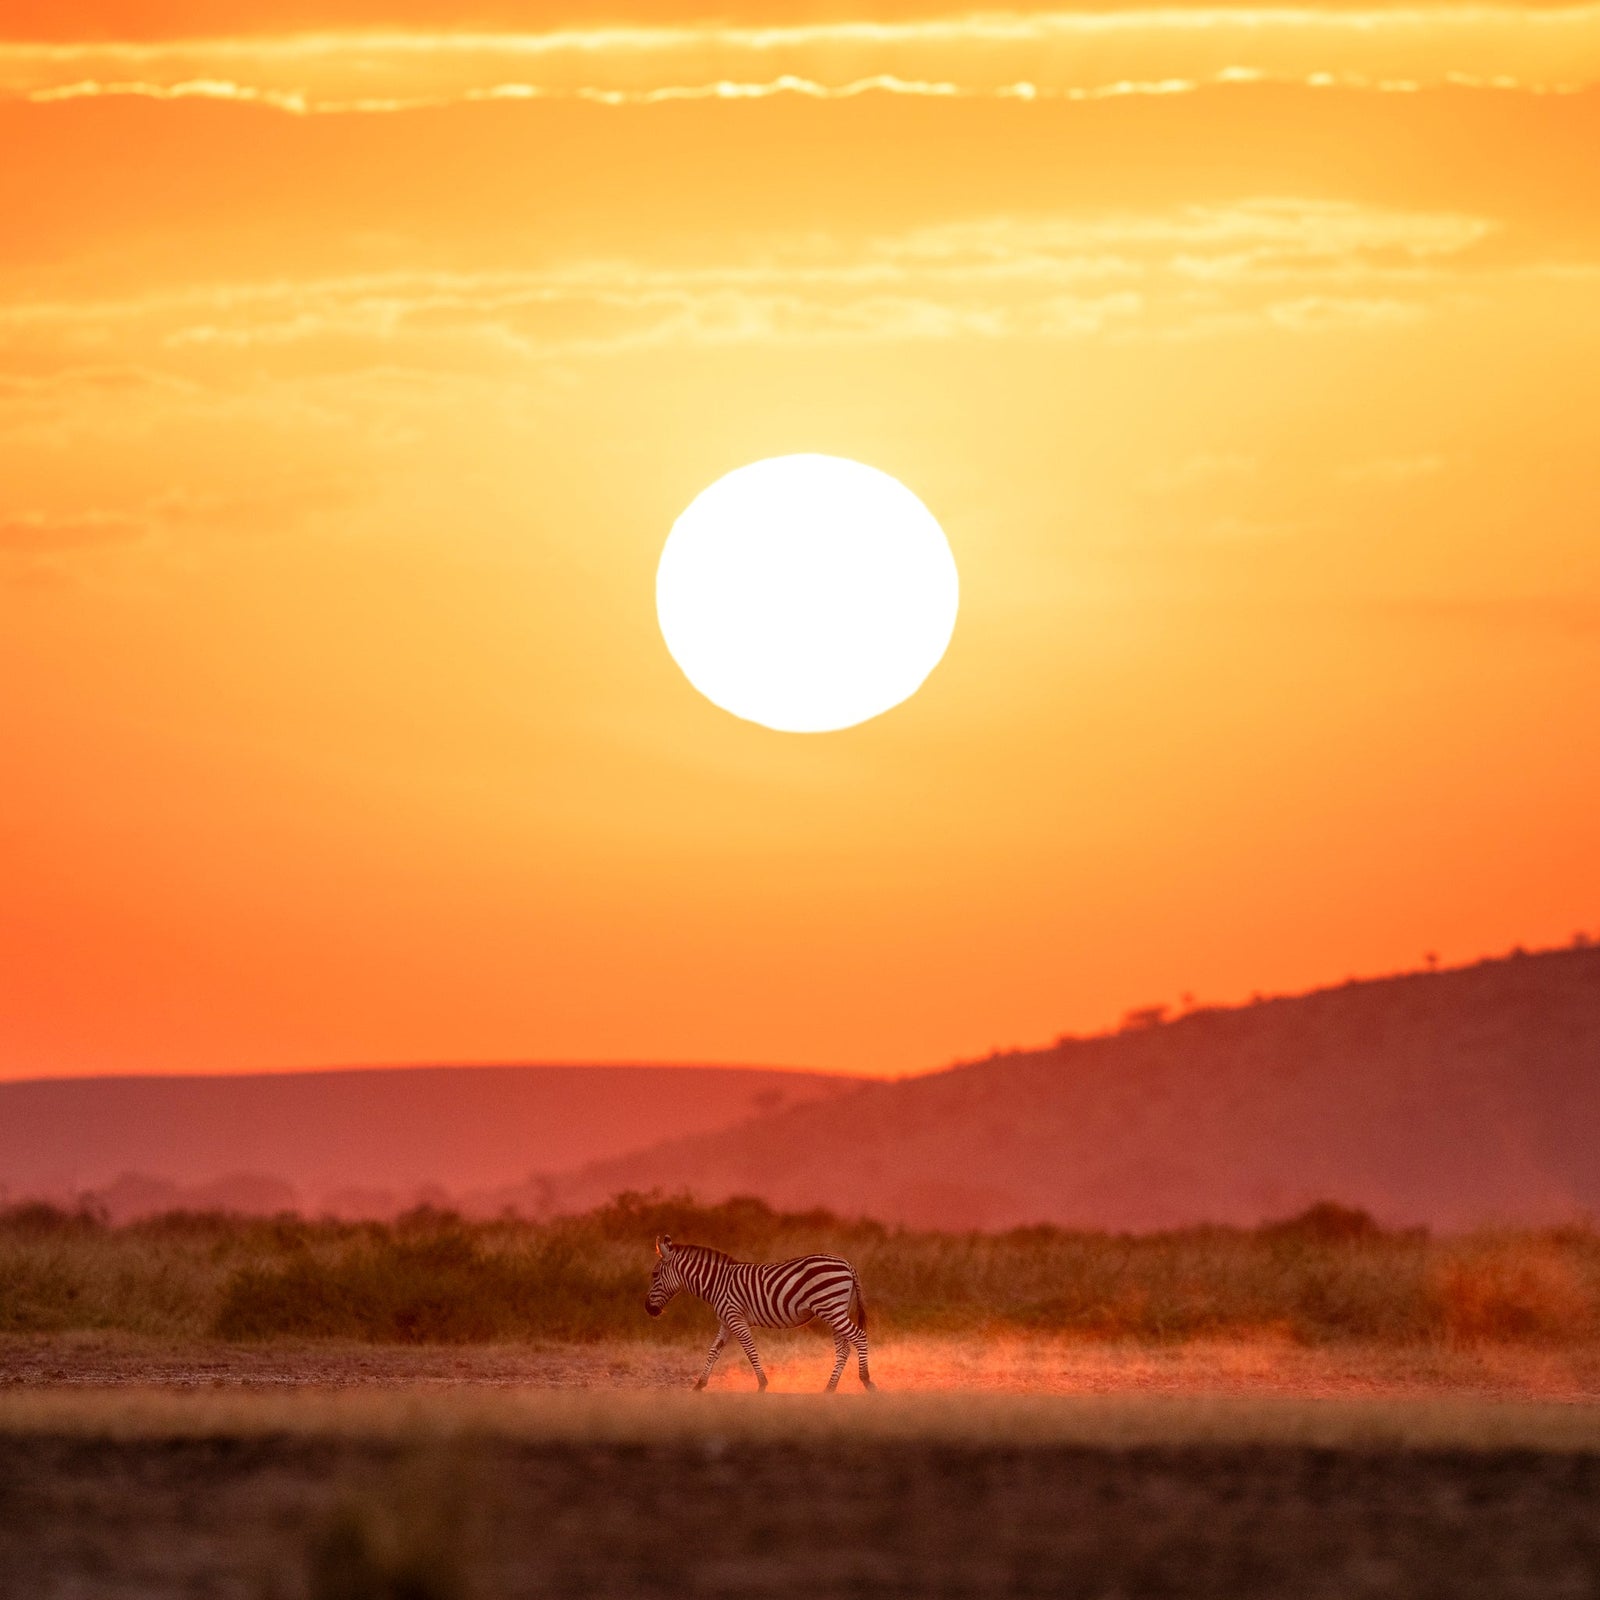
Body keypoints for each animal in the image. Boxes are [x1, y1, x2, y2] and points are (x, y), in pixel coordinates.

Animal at [645, 1234, 877, 1392]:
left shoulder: (735, 1318)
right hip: (835, 1311)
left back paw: (867, 1380)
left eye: (655, 1275)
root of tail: (846, 1263)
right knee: (843, 1349)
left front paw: (763, 1384)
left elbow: (750, 1350)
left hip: (831, 1309)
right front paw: (699, 1385)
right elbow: (713, 1352)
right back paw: (829, 1388)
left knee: (859, 1336)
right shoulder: (726, 1322)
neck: (717, 1283)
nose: (648, 1309)